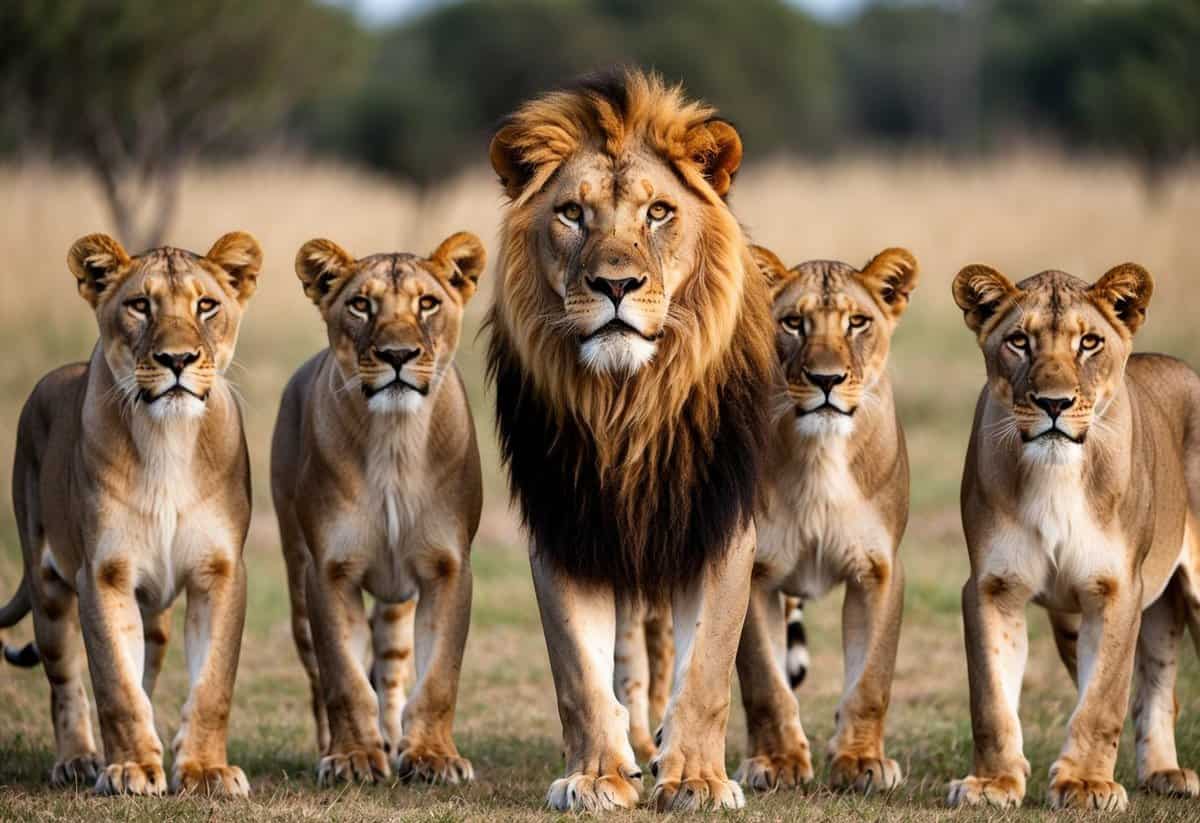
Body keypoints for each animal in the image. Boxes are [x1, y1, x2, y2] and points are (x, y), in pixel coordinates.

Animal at [0, 232, 261, 796]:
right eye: (140, 305)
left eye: (206, 306)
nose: (178, 359)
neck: (168, 436)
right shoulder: (103, 572)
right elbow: (114, 685)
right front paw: (132, 769)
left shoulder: (221, 571)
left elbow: (212, 684)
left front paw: (205, 770)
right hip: (48, 588)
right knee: (65, 680)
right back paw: (77, 760)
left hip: (154, 612)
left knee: (148, 656)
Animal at [271, 231, 485, 787]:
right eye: (361, 305)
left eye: (427, 303)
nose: (397, 355)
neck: (394, 440)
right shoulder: (328, 570)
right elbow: (343, 678)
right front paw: (352, 757)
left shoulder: (448, 568)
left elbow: (439, 677)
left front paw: (432, 756)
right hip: (296, 581)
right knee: (320, 676)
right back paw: (340, 747)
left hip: (397, 601)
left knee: (390, 669)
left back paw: (393, 741)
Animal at [486, 69, 776, 811]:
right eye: (571, 214)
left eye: (659, 213)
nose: (615, 284)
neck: (628, 405)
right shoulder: (565, 521)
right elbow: (579, 674)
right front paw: (597, 776)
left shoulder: (718, 518)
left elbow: (707, 668)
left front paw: (698, 779)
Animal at [732, 246, 917, 794]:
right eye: (794, 323)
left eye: (858, 323)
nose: (827, 380)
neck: (820, 453)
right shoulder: (751, 571)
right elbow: (765, 682)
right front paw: (777, 763)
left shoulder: (879, 569)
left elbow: (872, 678)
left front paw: (862, 762)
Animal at [948, 262, 1200, 810]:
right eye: (1019, 341)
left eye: (1089, 342)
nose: (1054, 404)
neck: (1056, 475)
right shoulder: (992, 587)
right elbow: (991, 699)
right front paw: (993, 784)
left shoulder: (1117, 590)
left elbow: (1102, 700)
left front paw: (1085, 784)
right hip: (1080, 620)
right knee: (1160, 689)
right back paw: (1163, 772)